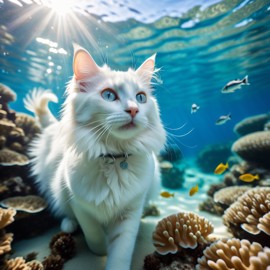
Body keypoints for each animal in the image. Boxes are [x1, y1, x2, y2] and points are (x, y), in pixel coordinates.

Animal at [24, 45, 166, 268]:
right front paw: (100, 249)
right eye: (108, 95)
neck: (115, 159)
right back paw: (68, 226)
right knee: (65, 213)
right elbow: (93, 234)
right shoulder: (79, 203)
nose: (134, 109)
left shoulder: (130, 211)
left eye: (141, 97)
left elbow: (121, 252)